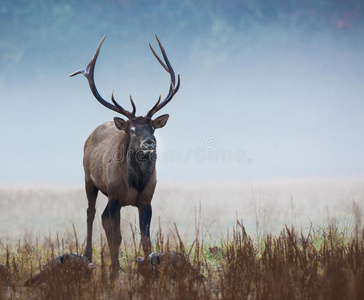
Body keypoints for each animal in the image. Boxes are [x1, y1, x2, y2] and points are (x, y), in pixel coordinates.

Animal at [69, 35, 180, 274]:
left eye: (152, 128)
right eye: (132, 129)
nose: (150, 142)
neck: (134, 183)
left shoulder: (147, 200)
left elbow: (146, 240)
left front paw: (148, 269)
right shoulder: (115, 196)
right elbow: (116, 236)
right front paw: (114, 270)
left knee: (102, 217)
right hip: (89, 179)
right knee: (91, 214)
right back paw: (88, 255)